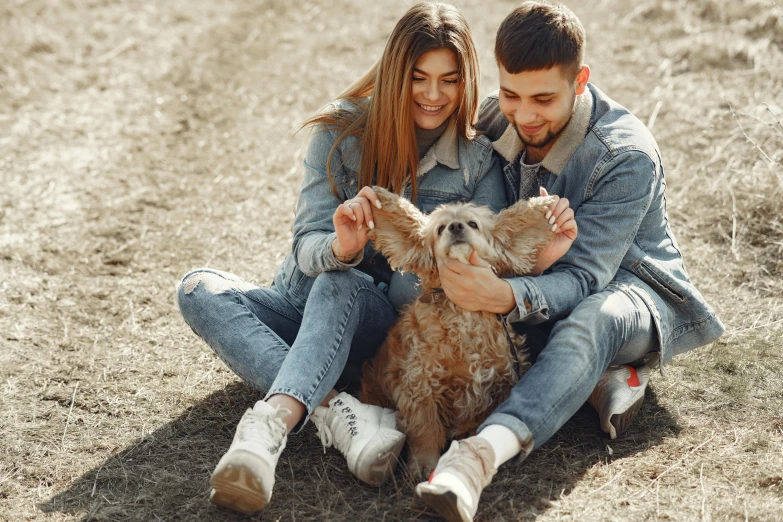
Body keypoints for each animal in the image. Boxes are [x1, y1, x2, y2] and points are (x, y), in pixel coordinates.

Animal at [362, 187, 556, 472]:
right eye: (441, 228)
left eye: (473, 224)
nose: (455, 227)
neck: (463, 314)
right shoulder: (420, 384)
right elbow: (426, 429)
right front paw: (424, 465)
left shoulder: (501, 380)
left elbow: (479, 420)